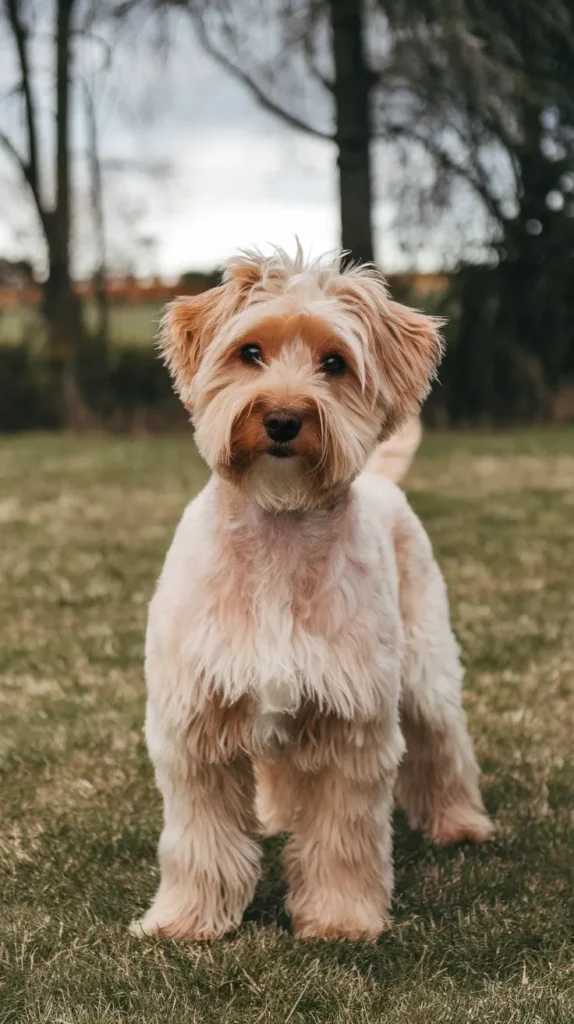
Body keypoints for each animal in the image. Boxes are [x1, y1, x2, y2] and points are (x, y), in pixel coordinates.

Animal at [130, 245, 493, 942]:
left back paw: (462, 823)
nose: (282, 418)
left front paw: (340, 918)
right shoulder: (196, 719)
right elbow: (200, 839)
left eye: (335, 363)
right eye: (249, 352)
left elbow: (342, 837)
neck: (281, 526)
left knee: (444, 743)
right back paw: (273, 815)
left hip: (425, 667)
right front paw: (187, 919)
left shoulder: (352, 719)